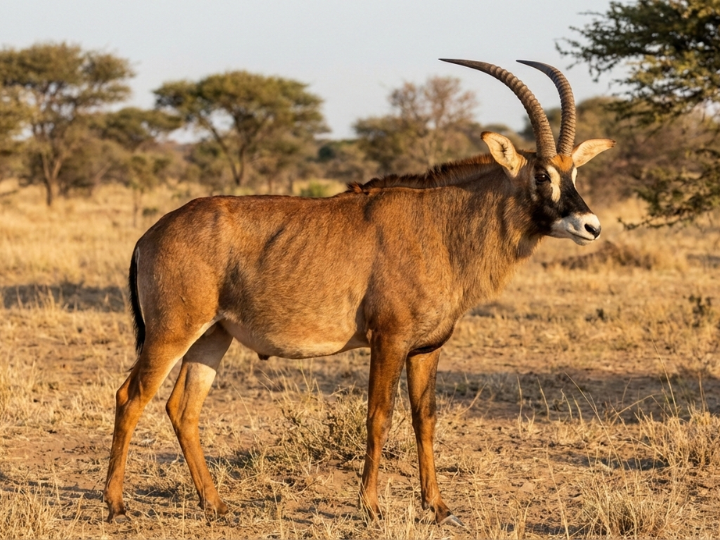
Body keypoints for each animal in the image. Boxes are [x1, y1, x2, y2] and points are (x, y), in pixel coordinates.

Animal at [103, 59, 614, 526]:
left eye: (574, 173)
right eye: (542, 175)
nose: (591, 226)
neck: (440, 224)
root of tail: (150, 234)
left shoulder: (426, 349)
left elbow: (425, 418)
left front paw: (437, 507)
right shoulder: (388, 341)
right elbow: (379, 416)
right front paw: (370, 507)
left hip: (212, 337)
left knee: (182, 409)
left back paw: (216, 506)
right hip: (172, 332)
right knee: (131, 396)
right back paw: (115, 504)